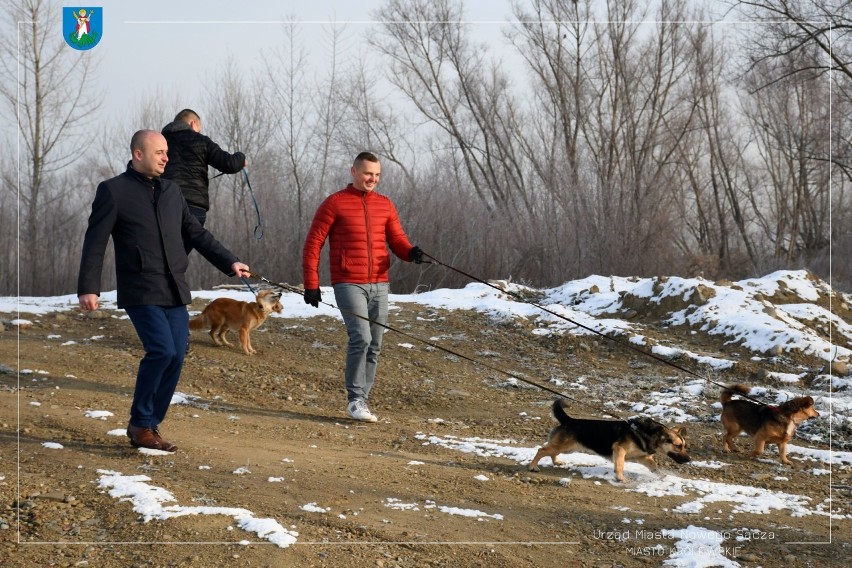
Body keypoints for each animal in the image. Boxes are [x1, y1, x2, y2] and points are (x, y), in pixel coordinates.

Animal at [528, 400, 688, 480]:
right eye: (678, 446)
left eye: (684, 446)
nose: (689, 460)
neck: (649, 433)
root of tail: (569, 420)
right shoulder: (619, 449)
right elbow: (620, 465)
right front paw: (620, 478)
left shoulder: (644, 457)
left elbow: (654, 467)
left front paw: (662, 476)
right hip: (564, 446)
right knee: (541, 450)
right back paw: (533, 466)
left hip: (567, 448)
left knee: (551, 451)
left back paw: (556, 462)